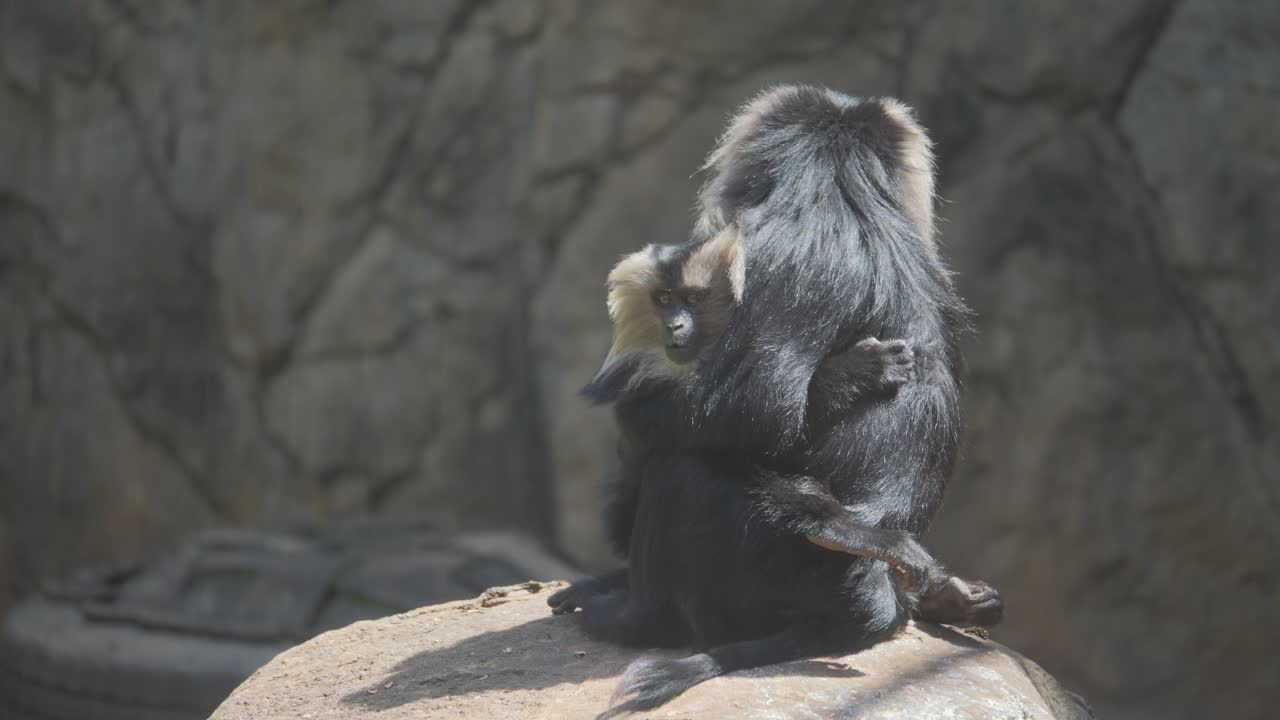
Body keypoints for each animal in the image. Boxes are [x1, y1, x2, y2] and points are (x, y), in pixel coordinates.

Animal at [548, 85, 988, 716]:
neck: (843, 194)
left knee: (677, 467)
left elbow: (756, 415)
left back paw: (632, 617)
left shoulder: (778, 255)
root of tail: (873, 600)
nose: (676, 325)